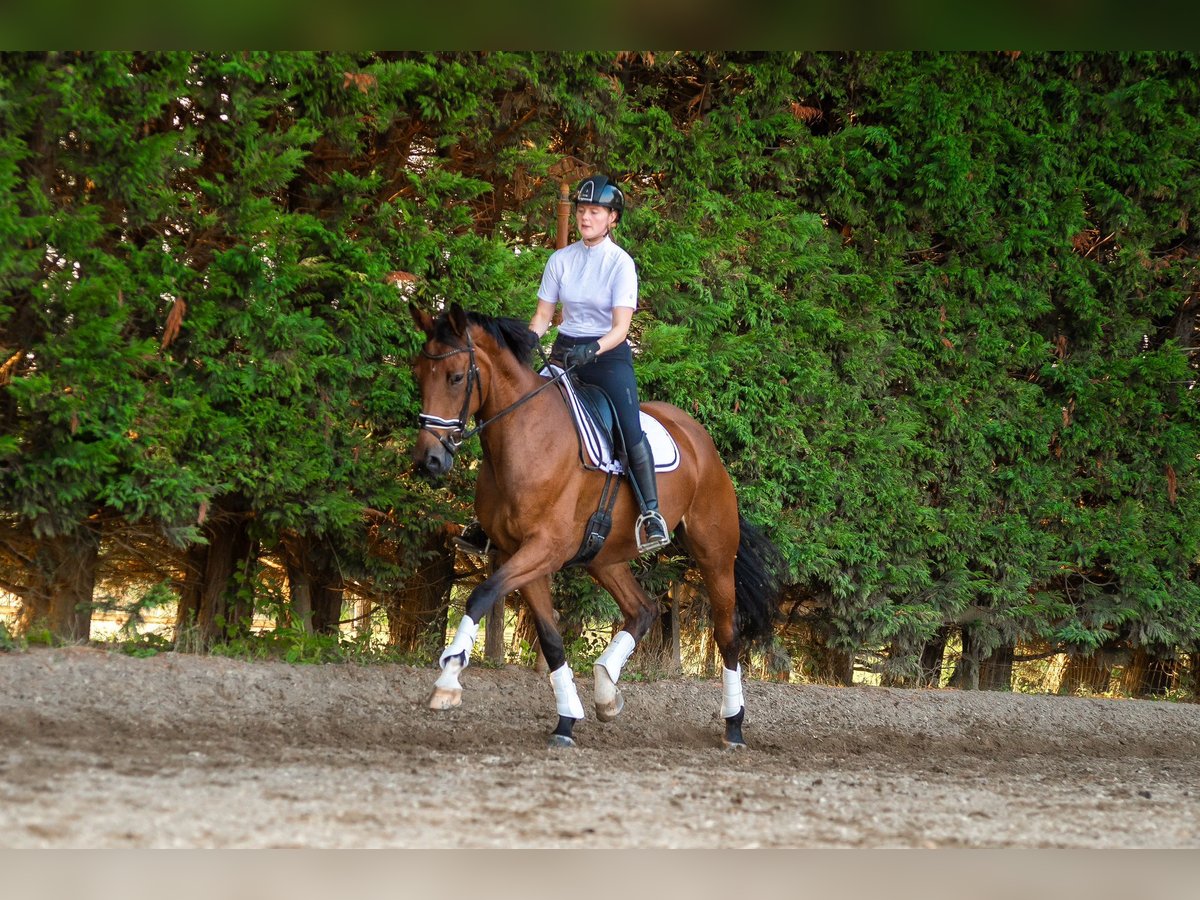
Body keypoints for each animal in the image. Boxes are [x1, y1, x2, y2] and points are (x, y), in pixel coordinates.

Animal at [410, 307, 787, 748]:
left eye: (455, 377)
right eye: (418, 373)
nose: (429, 461)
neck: (525, 438)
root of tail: (700, 439)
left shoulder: (544, 549)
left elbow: (481, 595)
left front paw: (448, 679)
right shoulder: (515, 553)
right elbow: (551, 639)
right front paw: (566, 721)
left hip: (714, 553)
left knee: (727, 633)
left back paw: (734, 725)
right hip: (603, 555)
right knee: (643, 609)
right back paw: (607, 690)